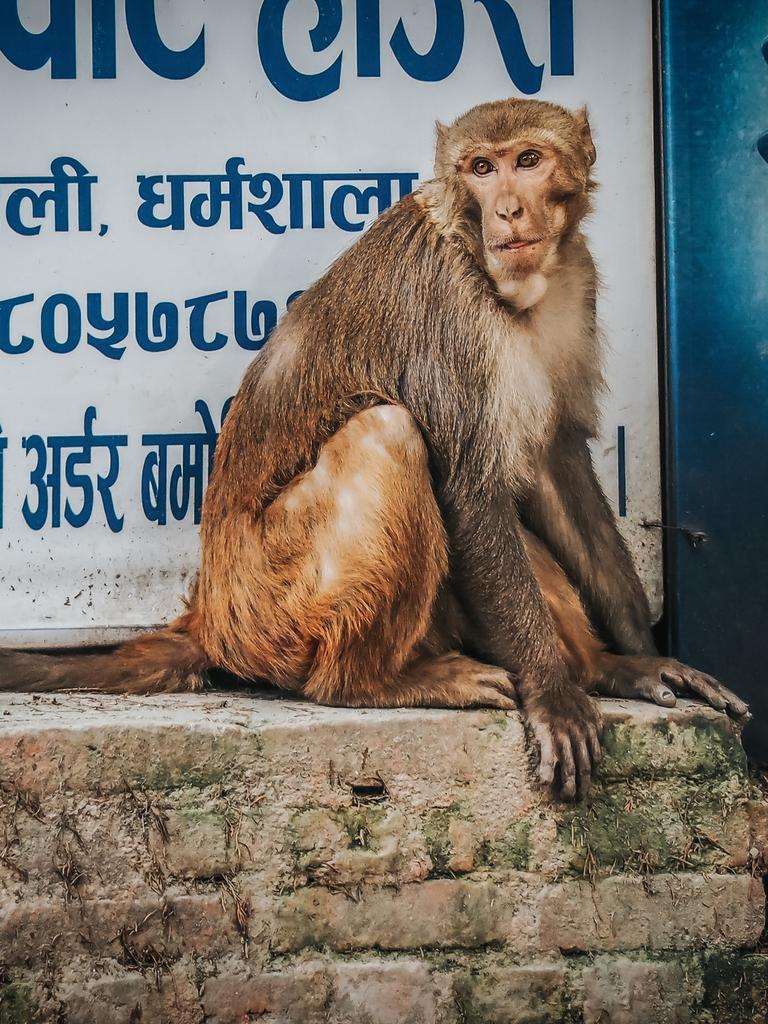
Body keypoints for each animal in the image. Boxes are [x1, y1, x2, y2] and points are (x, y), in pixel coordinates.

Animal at [0, 97, 745, 798]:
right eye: (481, 168)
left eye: (528, 160)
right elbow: (472, 492)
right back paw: (367, 683)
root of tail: (211, 614)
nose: (507, 209)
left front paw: (636, 656)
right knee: (388, 431)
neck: (499, 276)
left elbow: (555, 467)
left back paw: (599, 668)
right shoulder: (455, 317)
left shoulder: (576, 283)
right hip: (279, 607)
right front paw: (555, 693)